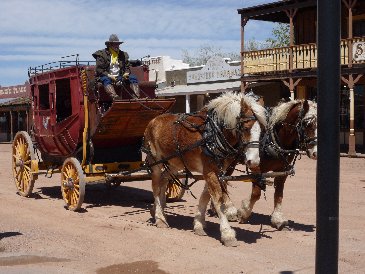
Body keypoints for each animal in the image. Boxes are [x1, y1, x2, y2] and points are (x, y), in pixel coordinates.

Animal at [143, 91, 268, 246]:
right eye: (245, 128)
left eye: (262, 131)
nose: (254, 161)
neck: (213, 134)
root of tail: (153, 121)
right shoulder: (209, 169)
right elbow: (217, 198)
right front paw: (227, 234)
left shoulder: (217, 170)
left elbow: (205, 195)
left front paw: (198, 224)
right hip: (155, 162)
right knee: (156, 187)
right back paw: (160, 218)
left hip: (175, 163)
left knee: (164, 180)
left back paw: (158, 209)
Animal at [235, 98, 318, 229]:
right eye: (307, 124)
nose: (316, 153)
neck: (275, 141)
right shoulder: (256, 168)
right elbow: (256, 193)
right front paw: (244, 212)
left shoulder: (282, 170)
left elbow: (279, 193)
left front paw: (277, 218)